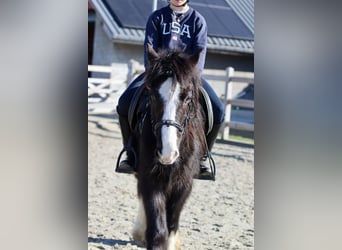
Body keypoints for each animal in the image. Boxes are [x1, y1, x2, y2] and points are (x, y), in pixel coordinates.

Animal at [128, 45, 207, 250]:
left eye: (187, 98)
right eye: (152, 95)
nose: (167, 153)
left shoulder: (185, 182)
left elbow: (172, 220)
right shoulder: (150, 177)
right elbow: (157, 227)